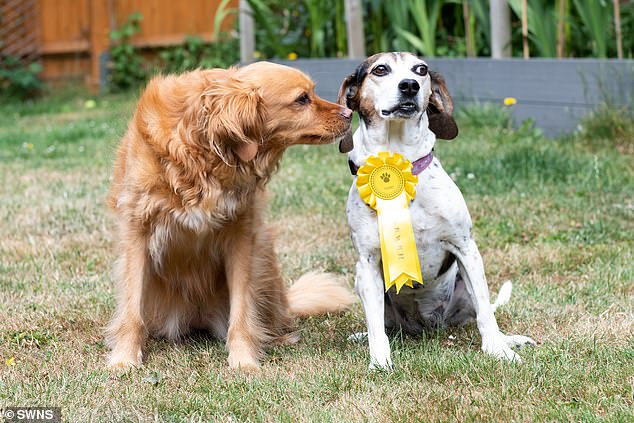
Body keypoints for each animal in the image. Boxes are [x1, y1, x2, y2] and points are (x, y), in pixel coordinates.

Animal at [107, 62, 356, 372]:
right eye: (302, 99)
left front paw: (243, 359)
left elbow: (242, 309)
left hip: (265, 258)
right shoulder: (136, 229)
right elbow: (131, 309)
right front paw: (124, 358)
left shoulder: (242, 235)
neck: (201, 149)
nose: (349, 112)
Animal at [336, 53, 532, 372]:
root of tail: (425, 327)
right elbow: (376, 327)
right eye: (380, 69)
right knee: (385, 326)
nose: (410, 86)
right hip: (362, 283)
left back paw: (509, 339)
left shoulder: (466, 249)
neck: (399, 159)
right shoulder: (367, 264)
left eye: (421, 69)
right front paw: (380, 363)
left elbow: (485, 314)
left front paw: (498, 350)